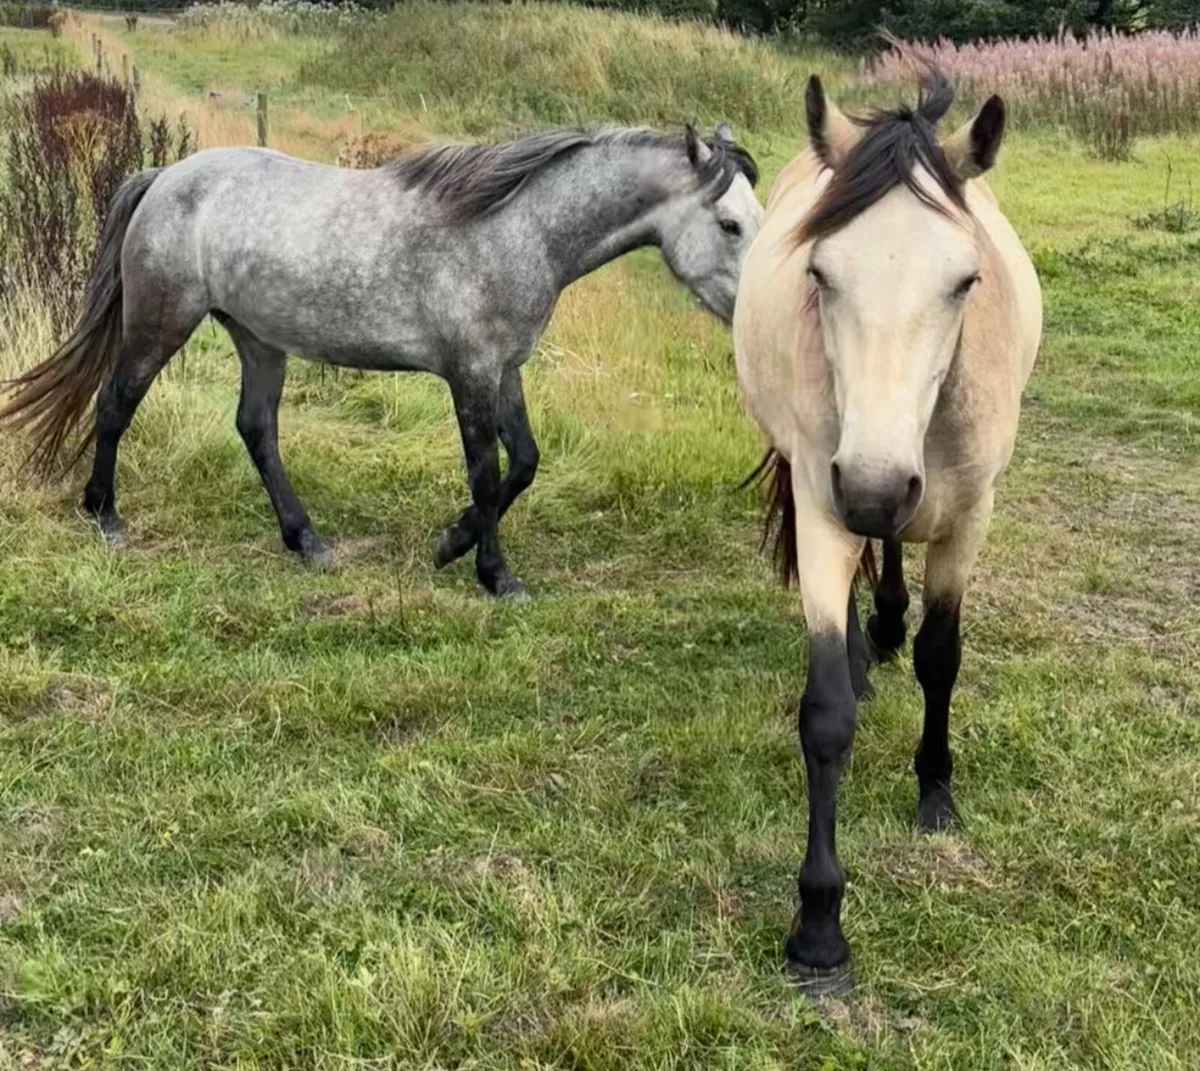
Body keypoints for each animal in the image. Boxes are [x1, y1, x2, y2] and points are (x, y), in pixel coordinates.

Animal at [2, 125, 761, 597]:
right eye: (729, 223)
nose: (756, 319)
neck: (513, 229)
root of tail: (165, 178)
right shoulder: (471, 374)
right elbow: (489, 473)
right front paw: (493, 573)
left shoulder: (504, 369)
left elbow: (525, 462)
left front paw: (451, 543)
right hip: (162, 323)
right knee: (114, 404)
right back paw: (105, 517)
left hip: (258, 340)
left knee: (256, 429)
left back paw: (305, 539)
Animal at [733, 66, 1042, 992]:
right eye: (821, 272)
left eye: (966, 280)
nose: (873, 486)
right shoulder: (828, 504)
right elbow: (826, 713)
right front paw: (818, 925)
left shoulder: (968, 513)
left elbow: (943, 658)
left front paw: (935, 792)